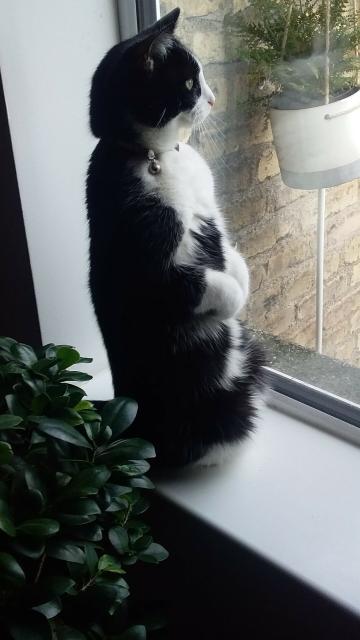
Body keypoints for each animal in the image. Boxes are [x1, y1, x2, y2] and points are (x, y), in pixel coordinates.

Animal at [86, 7, 266, 468]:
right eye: (189, 83)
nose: (214, 98)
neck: (162, 157)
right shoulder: (149, 267)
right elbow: (208, 285)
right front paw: (233, 304)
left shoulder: (212, 211)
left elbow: (234, 259)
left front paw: (244, 282)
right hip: (221, 412)